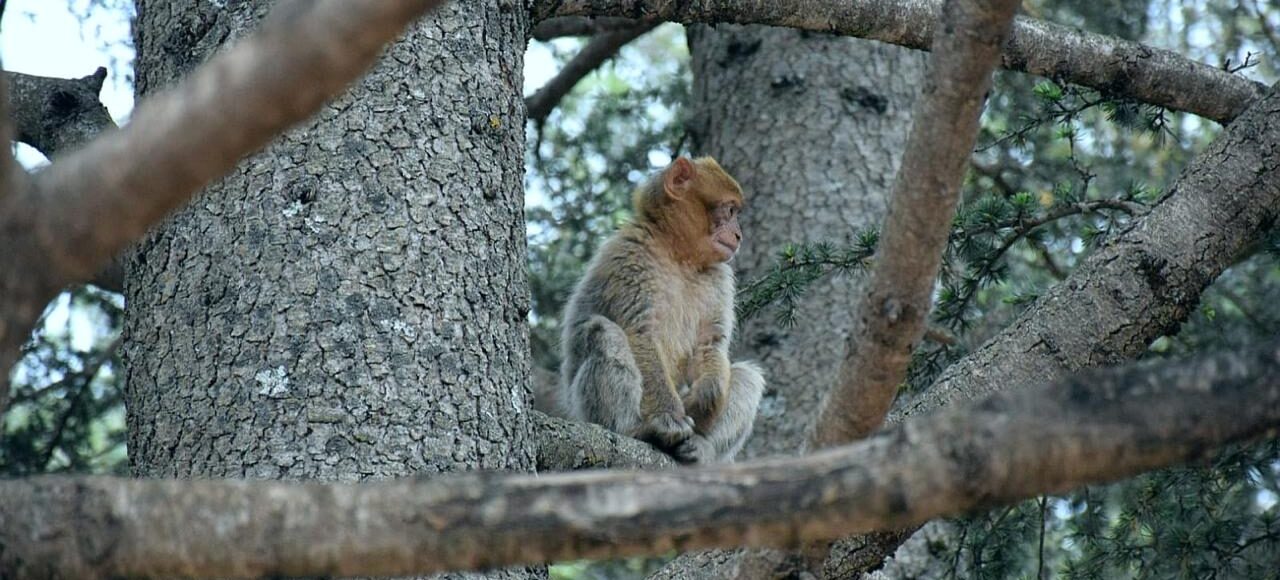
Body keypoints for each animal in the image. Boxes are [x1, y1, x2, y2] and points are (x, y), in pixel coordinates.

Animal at [550, 153, 757, 460]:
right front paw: (669, 417)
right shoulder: (630, 258)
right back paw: (636, 430)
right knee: (603, 332)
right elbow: (641, 335)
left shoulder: (720, 279)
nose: (738, 235)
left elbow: (710, 343)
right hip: (584, 412)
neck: (680, 256)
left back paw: (702, 447)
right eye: (730, 211)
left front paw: (704, 399)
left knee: (748, 375)